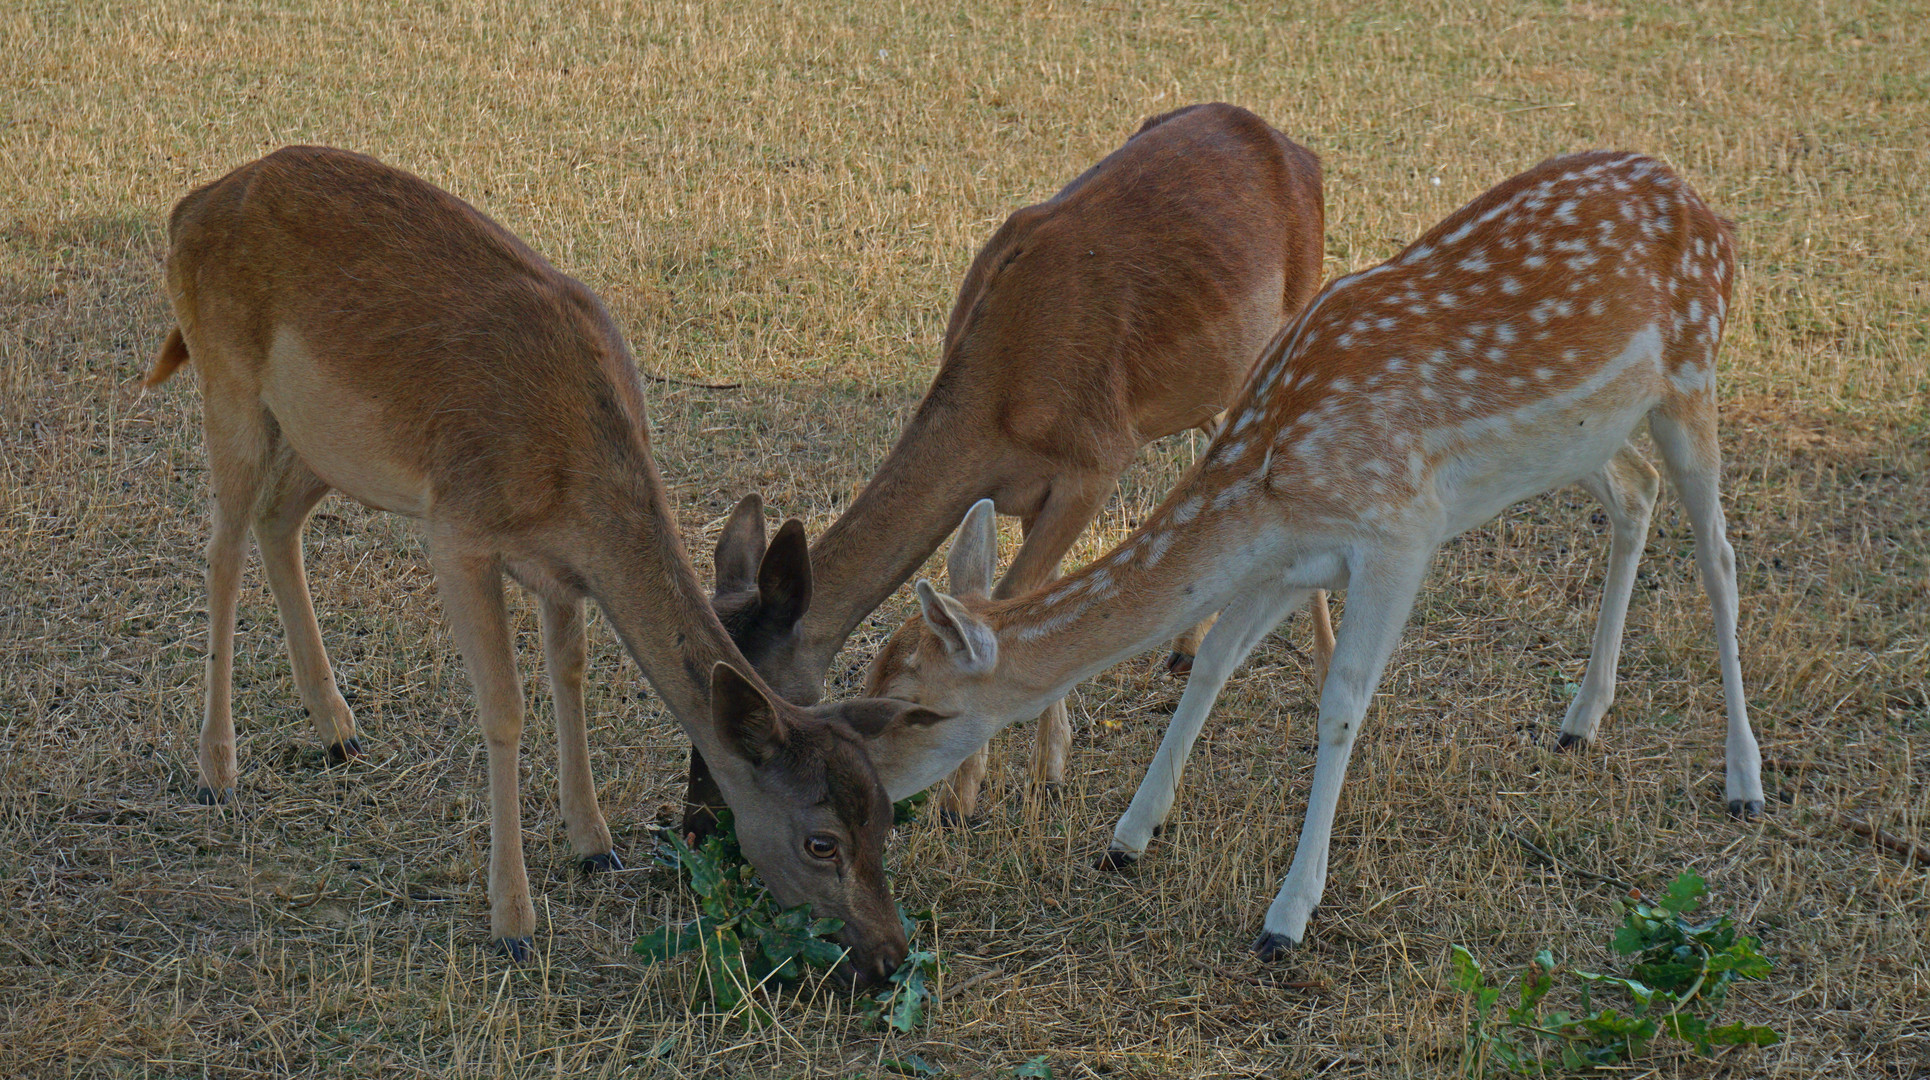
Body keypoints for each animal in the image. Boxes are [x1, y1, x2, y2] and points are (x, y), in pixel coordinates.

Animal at [148, 143, 934, 979]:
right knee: (222, 546)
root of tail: (190, 206)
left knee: (278, 520)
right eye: (822, 841)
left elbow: (571, 675)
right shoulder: (457, 529)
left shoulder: (562, 572)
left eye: (886, 818)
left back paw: (338, 728)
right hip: (226, 381)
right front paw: (514, 920)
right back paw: (217, 772)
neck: (572, 478)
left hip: (325, 440)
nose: (891, 954)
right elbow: (504, 707)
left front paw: (594, 844)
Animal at [687, 101, 1335, 829]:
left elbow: (1011, 597)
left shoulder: (1096, 462)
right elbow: (1028, 590)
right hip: (1211, 384)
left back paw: (1322, 673)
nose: (699, 819)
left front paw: (963, 800)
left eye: (759, 698)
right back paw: (1185, 647)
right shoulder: (1024, 492)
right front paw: (1050, 769)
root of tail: (1299, 152)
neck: (1000, 405)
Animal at [860, 149, 1767, 952]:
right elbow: (1216, 657)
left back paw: (1744, 783)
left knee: (1719, 555)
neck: (1272, 472)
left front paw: (1286, 917)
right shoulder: (1295, 558)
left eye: (920, 707)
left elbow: (1341, 703)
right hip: (1585, 436)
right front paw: (1127, 838)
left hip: (1694, 374)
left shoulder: (1399, 531)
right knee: (1636, 491)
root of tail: (1713, 213)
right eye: (866, 680)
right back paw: (1580, 721)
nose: (871, 806)